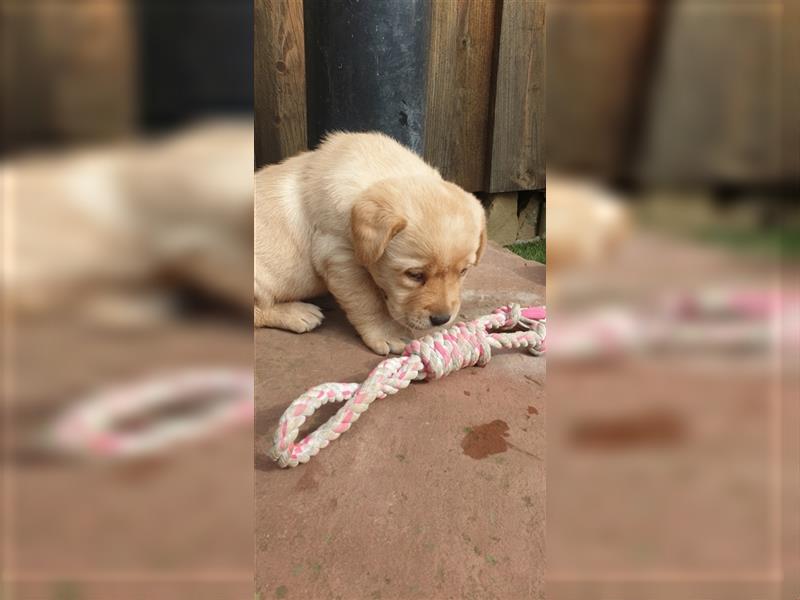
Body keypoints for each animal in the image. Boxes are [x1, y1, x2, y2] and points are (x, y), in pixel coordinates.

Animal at [255, 131, 488, 354]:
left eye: (463, 271)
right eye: (414, 275)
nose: (442, 319)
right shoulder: (339, 256)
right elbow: (367, 300)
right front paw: (387, 332)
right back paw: (297, 313)